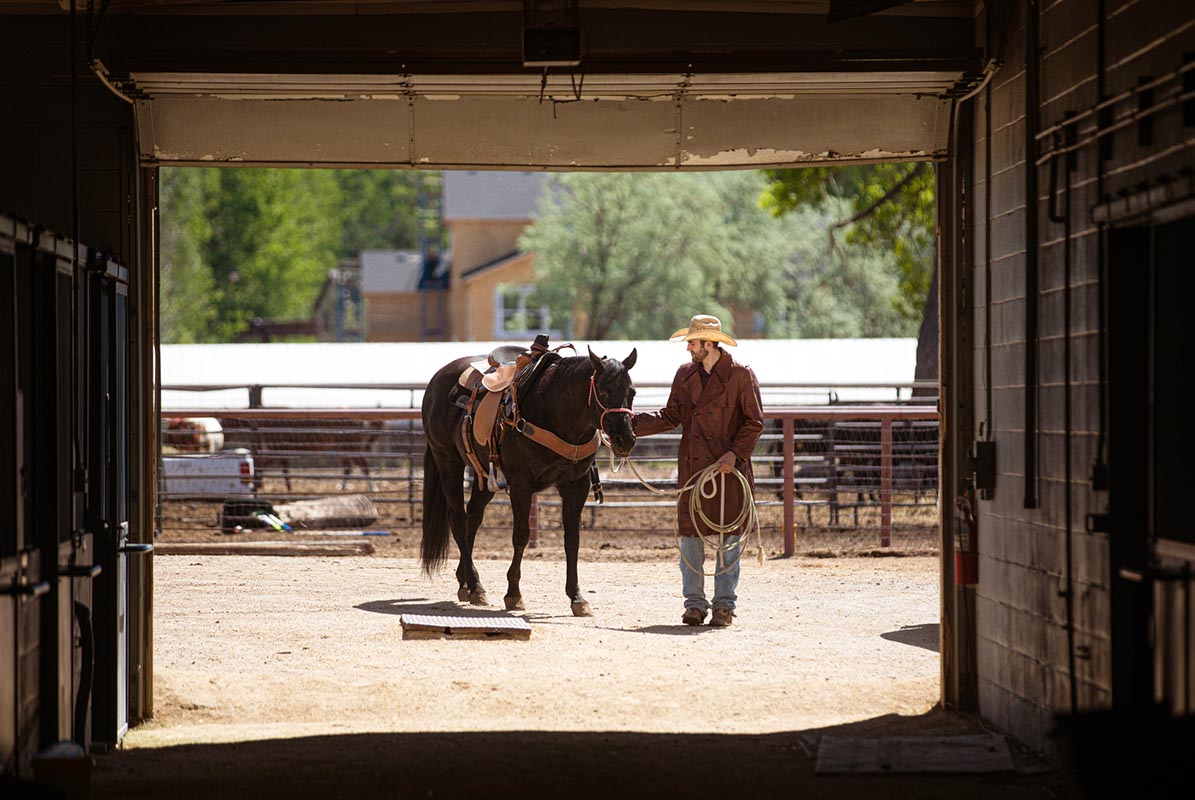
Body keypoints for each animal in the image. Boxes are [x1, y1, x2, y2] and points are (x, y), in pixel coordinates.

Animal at [423, 346, 640, 617]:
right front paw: (514, 594)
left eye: (632, 392)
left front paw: (577, 597)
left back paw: (467, 584)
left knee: (473, 517)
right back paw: (476, 585)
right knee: (459, 520)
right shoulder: (521, 483)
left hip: (484, 473)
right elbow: (521, 535)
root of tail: (436, 381)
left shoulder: (576, 486)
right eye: (603, 391)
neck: (555, 410)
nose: (625, 439)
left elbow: (572, 540)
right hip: (448, 462)